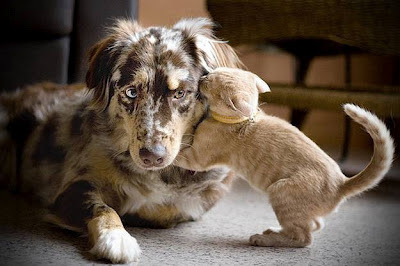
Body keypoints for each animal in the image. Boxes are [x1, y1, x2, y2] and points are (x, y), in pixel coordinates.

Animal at [0, 18, 242, 264]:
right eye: (132, 92)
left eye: (180, 93)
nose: (151, 156)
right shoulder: (72, 187)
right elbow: (104, 208)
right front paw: (116, 239)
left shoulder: (197, 200)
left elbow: (164, 209)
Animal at [174, 67, 394, 248]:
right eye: (214, 72)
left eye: (212, 82)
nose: (204, 76)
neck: (237, 121)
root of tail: (342, 183)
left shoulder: (197, 158)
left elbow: (177, 154)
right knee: (315, 224)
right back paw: (275, 231)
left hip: (281, 191)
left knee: (304, 238)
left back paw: (265, 239)